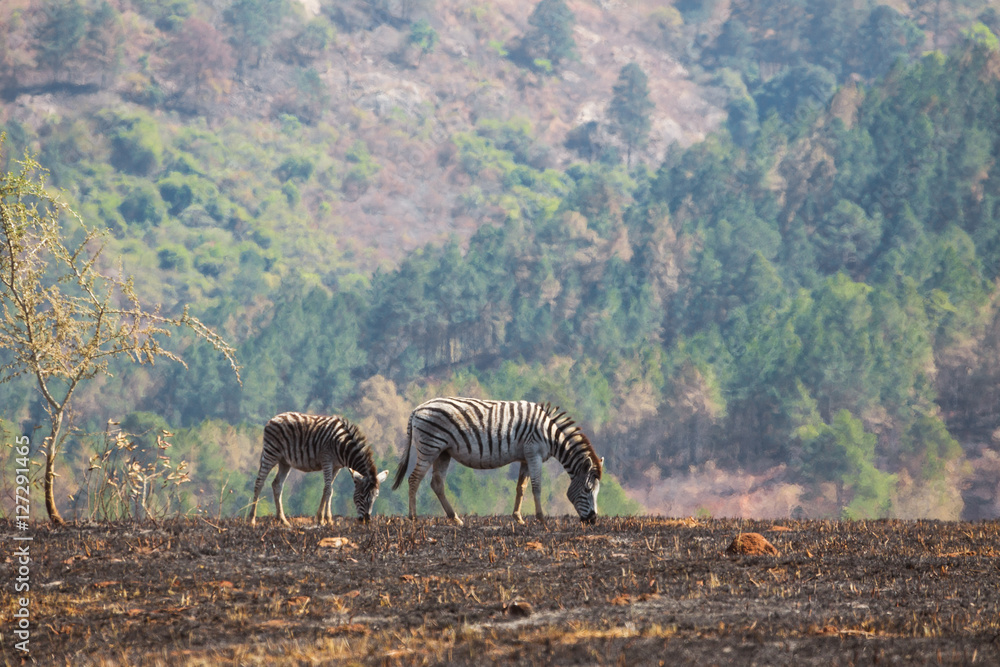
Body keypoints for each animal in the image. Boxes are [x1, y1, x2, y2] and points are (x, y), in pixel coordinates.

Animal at [250, 412, 389, 526]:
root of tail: (272, 419)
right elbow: (329, 490)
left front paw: (321, 518)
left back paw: (283, 520)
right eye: (361, 495)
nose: (366, 520)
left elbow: (327, 489)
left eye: (376, 497)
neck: (342, 444)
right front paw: (327, 519)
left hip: (284, 461)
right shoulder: (327, 460)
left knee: (277, 484)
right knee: (259, 482)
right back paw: (252, 519)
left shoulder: (336, 466)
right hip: (271, 453)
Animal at [392, 397, 603, 525]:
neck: (550, 435)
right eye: (587, 490)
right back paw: (413, 517)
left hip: (443, 452)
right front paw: (541, 518)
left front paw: (518, 517)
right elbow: (536, 487)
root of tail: (417, 409)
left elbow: (521, 488)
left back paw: (455, 518)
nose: (593, 520)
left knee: (436, 483)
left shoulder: (525, 457)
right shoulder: (533, 453)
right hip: (430, 447)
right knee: (414, 479)